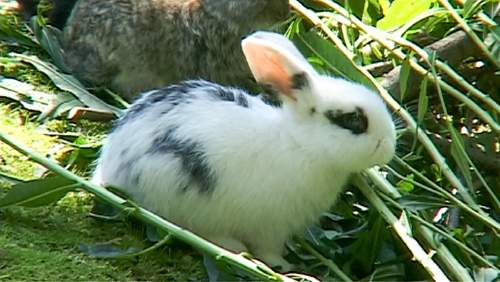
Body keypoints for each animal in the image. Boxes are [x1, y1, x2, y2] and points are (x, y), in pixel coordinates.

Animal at [94, 30, 396, 270]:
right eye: (353, 120)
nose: (389, 145)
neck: (300, 144)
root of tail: (107, 168)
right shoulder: (271, 228)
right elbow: (269, 250)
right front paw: (284, 266)